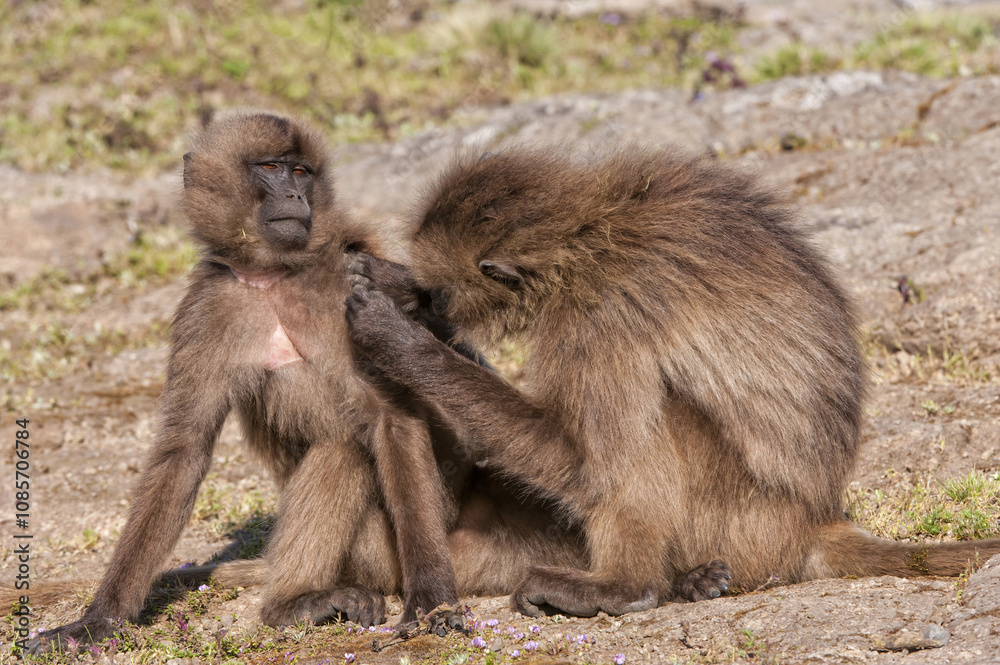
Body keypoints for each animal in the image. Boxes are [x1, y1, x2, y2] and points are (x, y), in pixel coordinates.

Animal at [28, 110, 475, 652]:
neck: (272, 275)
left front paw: (431, 600)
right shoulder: (208, 306)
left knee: (345, 447)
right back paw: (296, 604)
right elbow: (183, 449)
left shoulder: (354, 291)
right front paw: (99, 619)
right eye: (270, 167)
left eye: (301, 172)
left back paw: (294, 602)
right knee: (342, 449)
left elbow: (393, 418)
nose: (296, 197)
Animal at [344, 145, 1000, 618]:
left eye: (442, 292)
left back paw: (625, 587)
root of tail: (813, 521)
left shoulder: (598, 319)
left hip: (741, 518)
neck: (584, 235)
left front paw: (399, 339)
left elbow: (582, 458)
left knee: (641, 435)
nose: (431, 304)